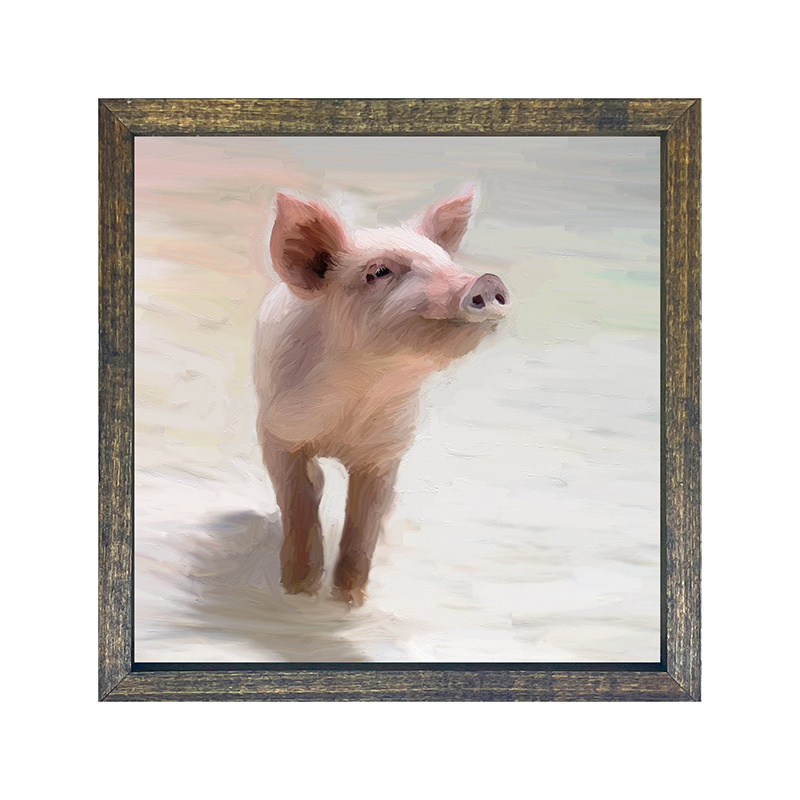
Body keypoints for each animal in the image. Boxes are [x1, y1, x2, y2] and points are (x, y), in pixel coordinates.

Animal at [254, 189, 510, 605]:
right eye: (379, 272)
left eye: (445, 262)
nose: (486, 280)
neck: (363, 392)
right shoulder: (277, 432)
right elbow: (297, 504)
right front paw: (299, 591)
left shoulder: (387, 449)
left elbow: (364, 525)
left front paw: (349, 601)